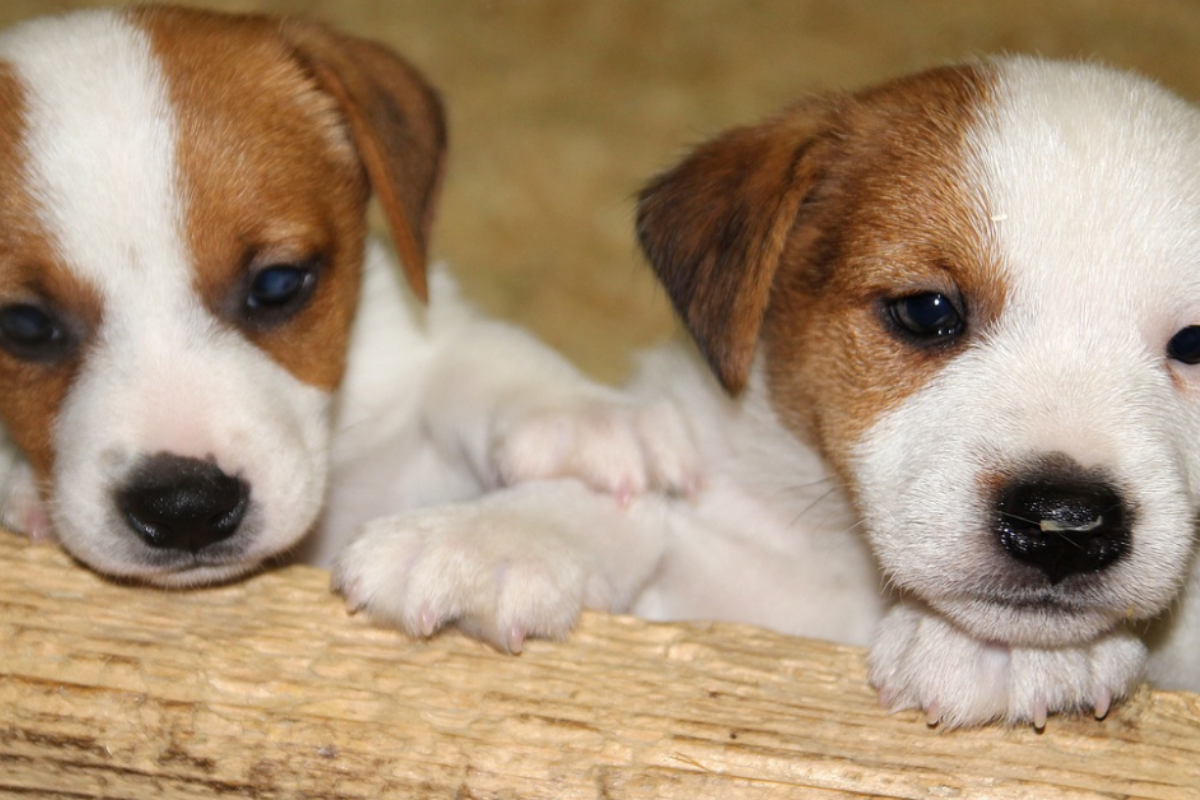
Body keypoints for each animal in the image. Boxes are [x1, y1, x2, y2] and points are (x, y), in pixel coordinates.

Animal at [0, 3, 696, 647]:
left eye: (278, 284)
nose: (186, 508)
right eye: (24, 324)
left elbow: (471, 355)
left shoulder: (408, 341)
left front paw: (575, 425)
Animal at [343, 56, 1200, 729]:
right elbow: (645, 508)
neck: (846, 568)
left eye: (1194, 344)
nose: (1064, 523)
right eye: (928, 311)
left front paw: (1007, 652)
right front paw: (495, 537)